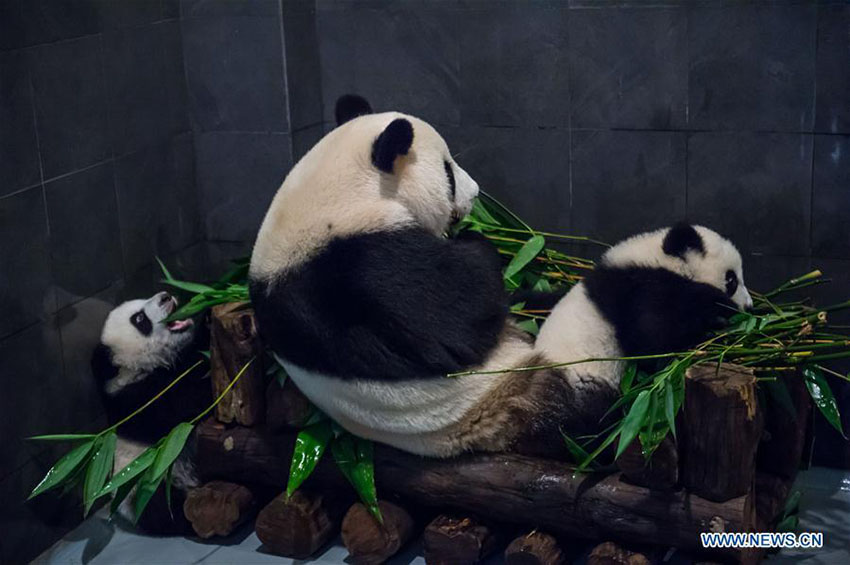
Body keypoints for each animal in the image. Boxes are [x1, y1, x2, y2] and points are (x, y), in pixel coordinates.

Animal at [91, 291, 210, 533]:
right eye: (139, 319)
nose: (165, 296)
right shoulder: (137, 404)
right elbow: (183, 405)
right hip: (143, 480)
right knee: (161, 508)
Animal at [249, 95, 751, 459]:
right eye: (449, 171)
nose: (476, 195)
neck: (336, 200)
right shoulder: (357, 265)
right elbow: (453, 325)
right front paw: (477, 243)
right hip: (521, 401)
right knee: (591, 421)